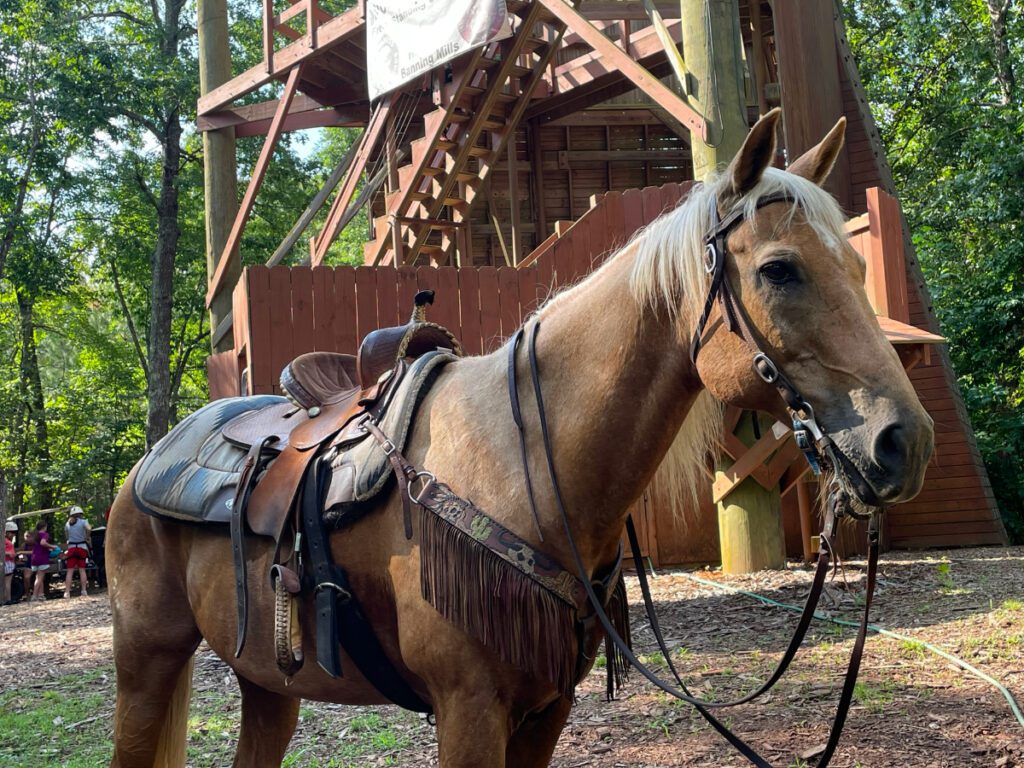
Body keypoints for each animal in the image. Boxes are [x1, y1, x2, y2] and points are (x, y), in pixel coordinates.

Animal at [108, 109, 933, 768]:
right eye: (779, 270)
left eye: (857, 263)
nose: (905, 441)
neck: (524, 462)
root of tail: (146, 465)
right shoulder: (469, 709)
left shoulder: (546, 709)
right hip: (147, 657)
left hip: (265, 682)